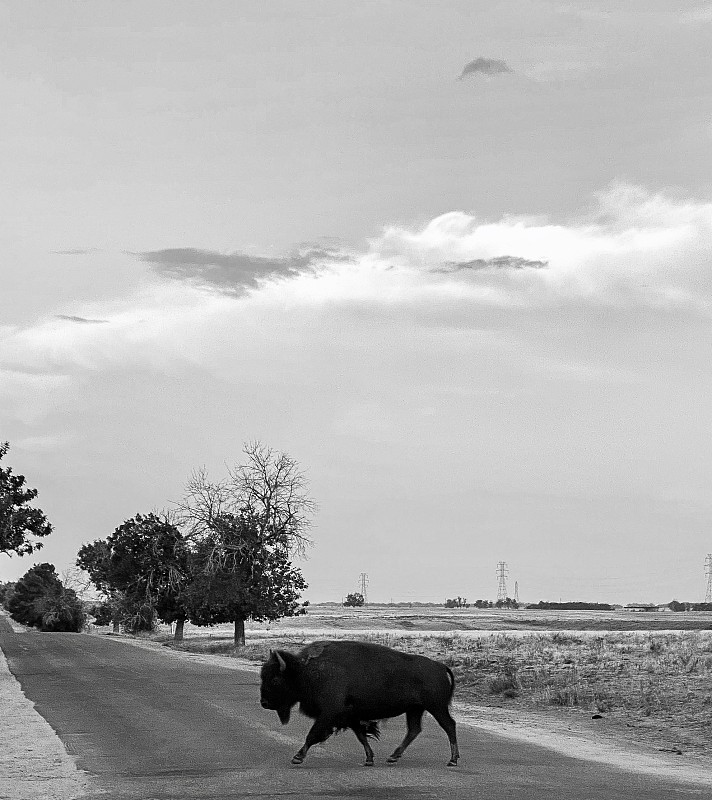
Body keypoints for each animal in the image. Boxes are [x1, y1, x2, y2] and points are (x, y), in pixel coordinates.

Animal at [258, 640, 458, 764]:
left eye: (275, 679)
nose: (264, 703)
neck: (304, 672)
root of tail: (440, 666)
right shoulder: (350, 716)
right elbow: (361, 736)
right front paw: (369, 758)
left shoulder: (330, 713)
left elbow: (313, 734)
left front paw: (297, 757)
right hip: (415, 709)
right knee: (414, 730)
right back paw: (393, 756)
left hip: (436, 707)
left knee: (449, 725)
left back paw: (453, 760)